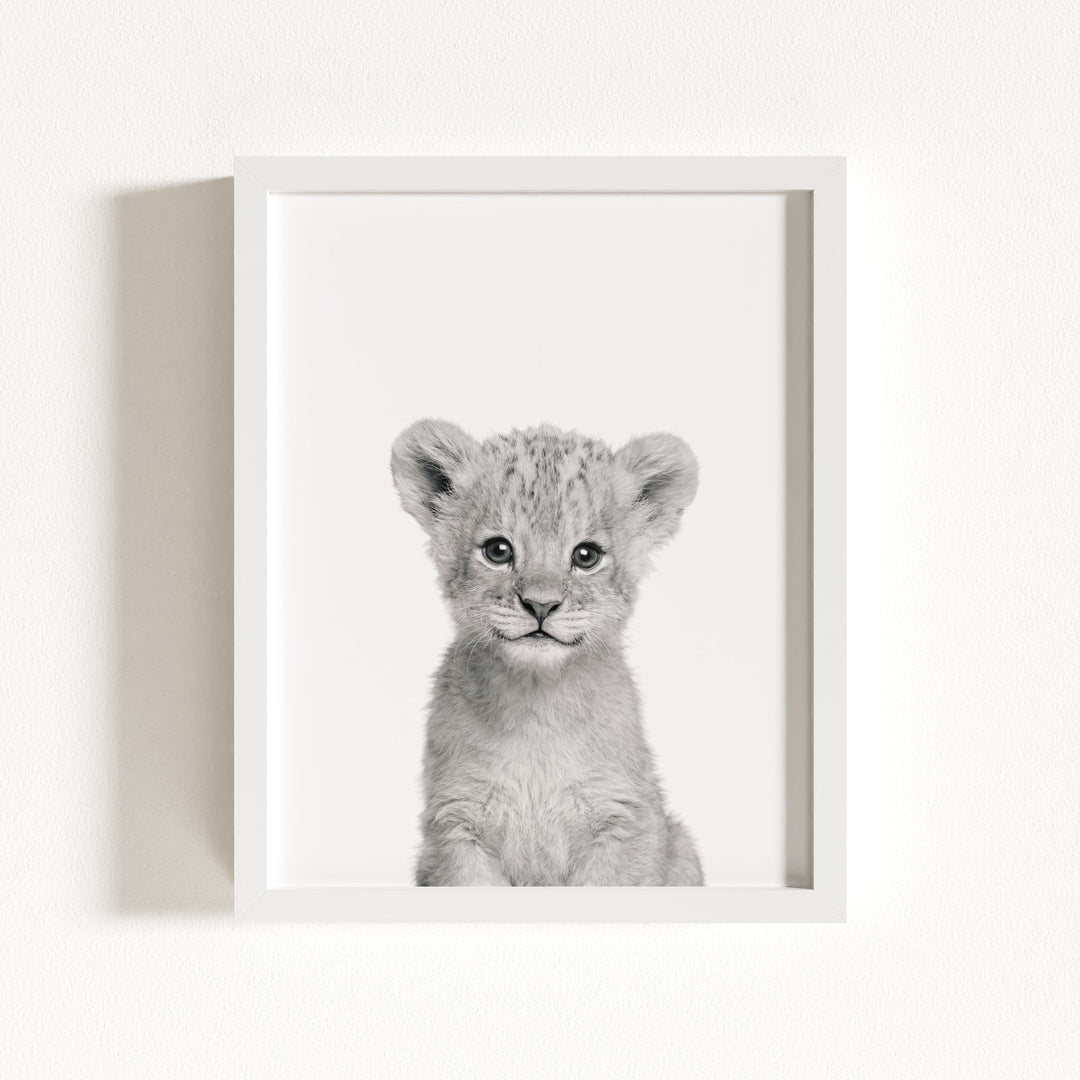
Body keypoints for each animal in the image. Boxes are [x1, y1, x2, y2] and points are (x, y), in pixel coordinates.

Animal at [391, 419, 704, 886]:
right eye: (498, 550)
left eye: (586, 555)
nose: (540, 605)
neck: (536, 706)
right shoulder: (456, 825)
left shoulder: (625, 820)